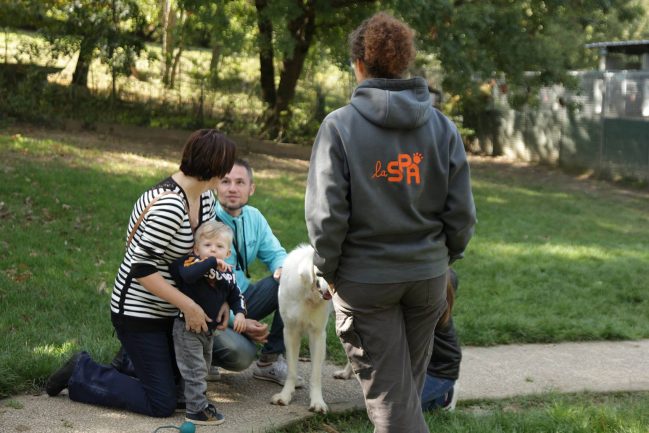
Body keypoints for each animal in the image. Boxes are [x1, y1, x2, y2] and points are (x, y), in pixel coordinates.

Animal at [270, 243, 332, 412]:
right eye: (321, 271)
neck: (307, 295)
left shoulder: (318, 334)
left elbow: (316, 374)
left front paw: (317, 402)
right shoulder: (290, 332)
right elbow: (291, 370)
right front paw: (284, 396)